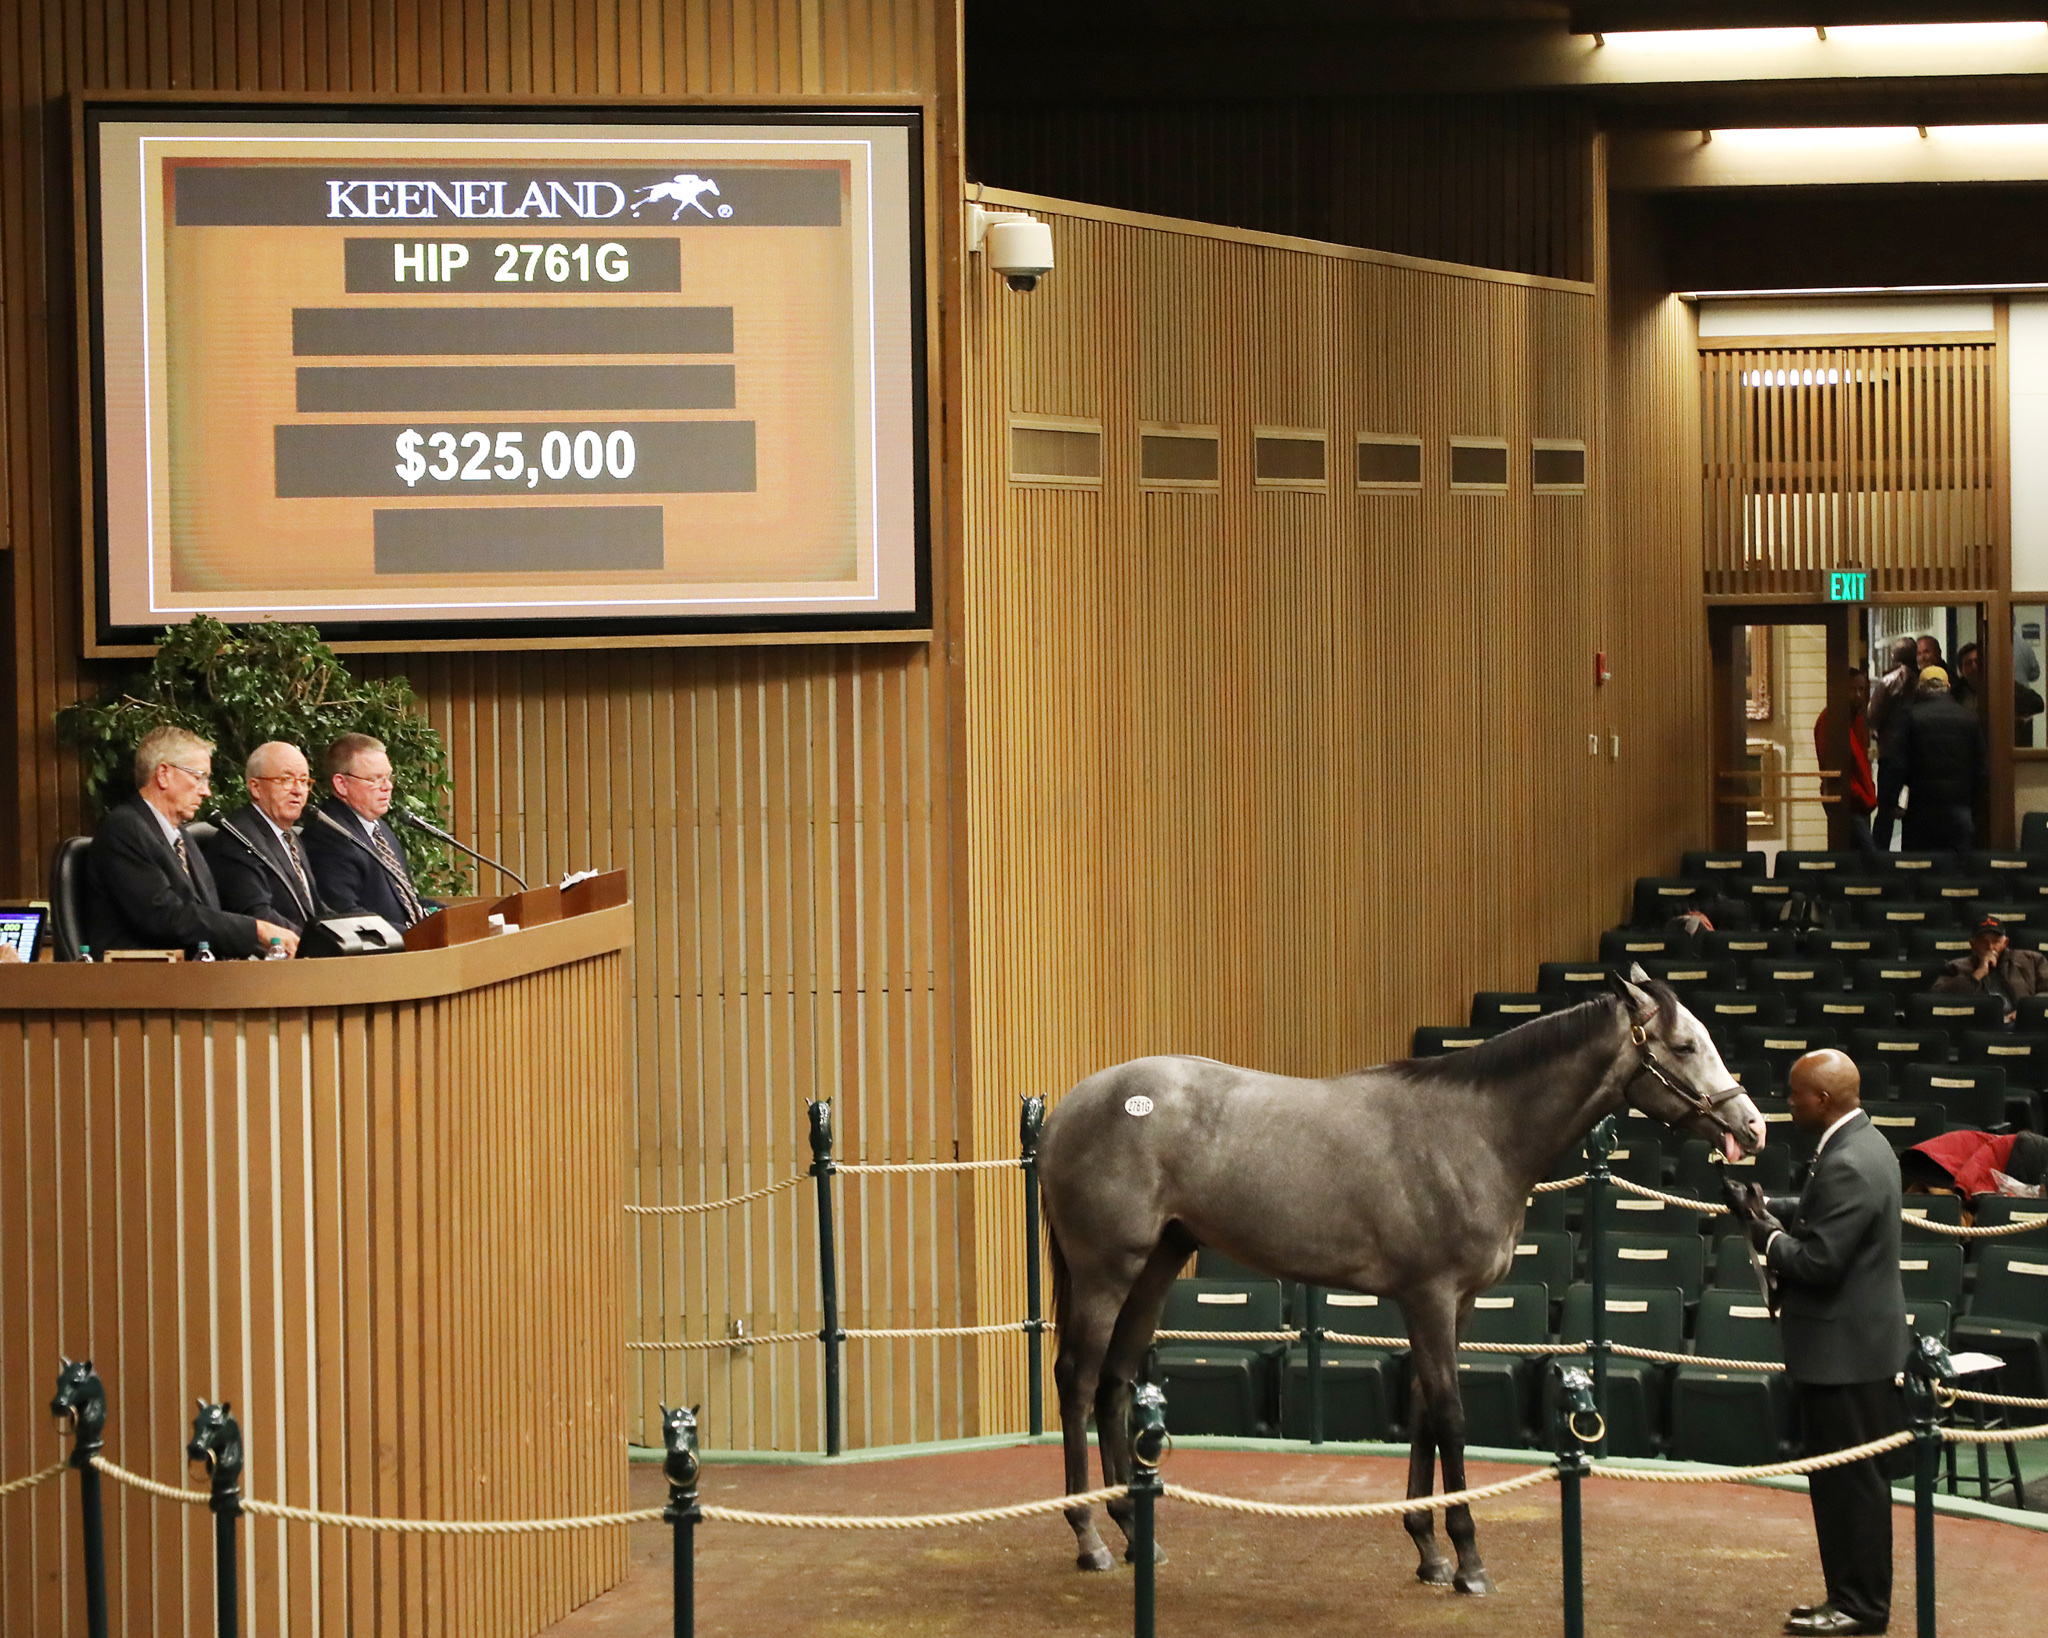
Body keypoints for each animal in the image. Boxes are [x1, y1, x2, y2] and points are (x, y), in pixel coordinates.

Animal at [1040, 974, 1761, 1588]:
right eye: (1684, 1044)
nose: (1752, 1126)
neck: (1474, 1133)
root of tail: (1069, 1107)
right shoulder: (1431, 1297)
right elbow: (1450, 1414)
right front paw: (1468, 1560)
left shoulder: (1452, 1304)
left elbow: (1421, 1410)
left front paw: (1428, 1551)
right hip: (1107, 1271)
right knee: (1077, 1380)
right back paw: (1088, 1537)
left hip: (1156, 1267)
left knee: (1114, 1383)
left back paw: (1133, 1529)